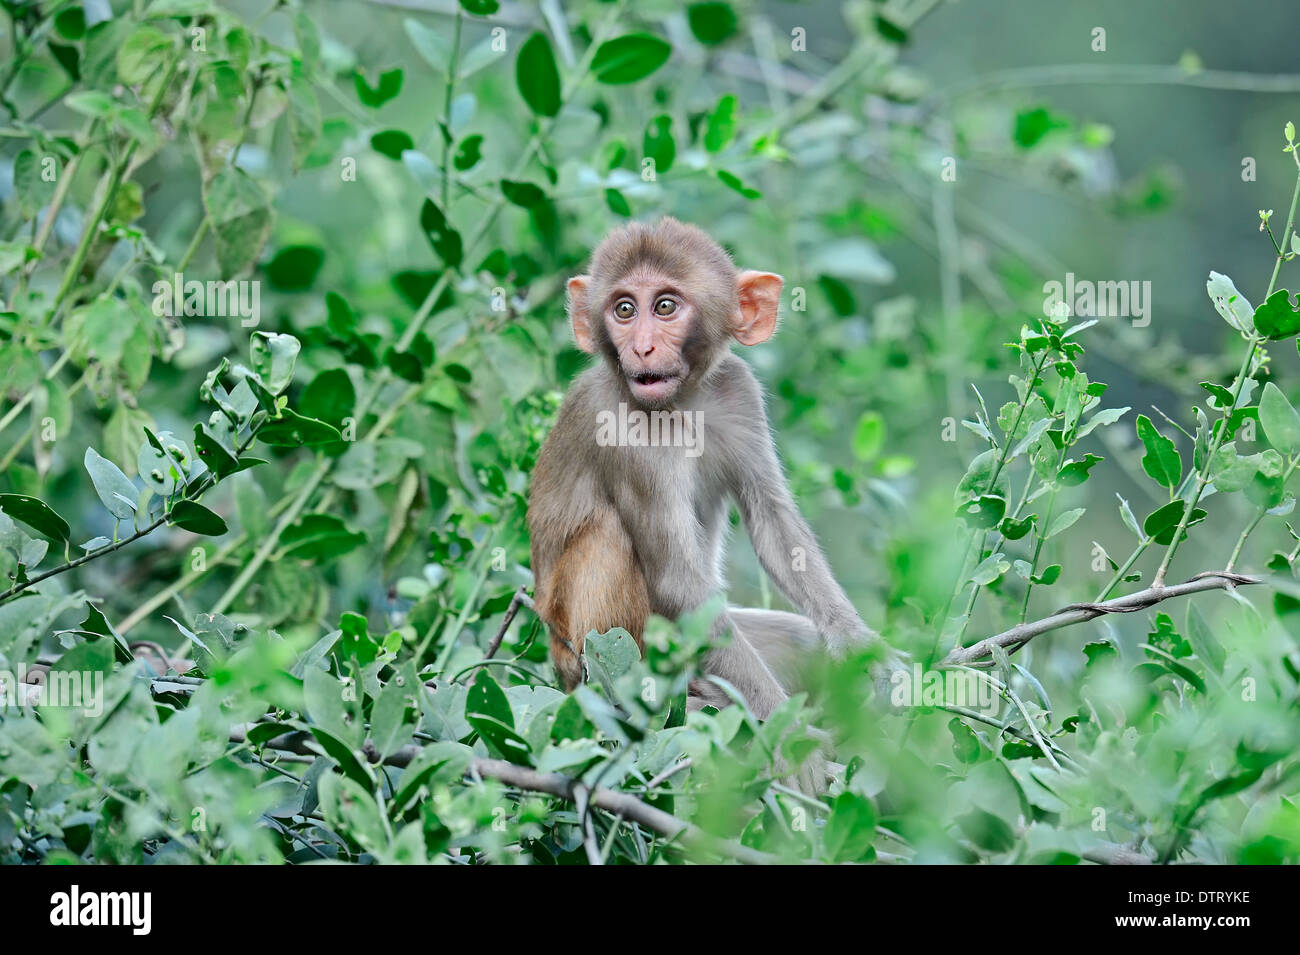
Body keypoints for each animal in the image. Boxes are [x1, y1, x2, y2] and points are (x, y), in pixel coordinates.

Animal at [527, 216, 883, 722]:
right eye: (624, 309)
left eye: (665, 306)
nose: (642, 348)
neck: (683, 403)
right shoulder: (622, 433)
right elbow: (679, 583)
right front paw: (789, 729)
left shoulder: (740, 391)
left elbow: (774, 526)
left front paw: (860, 645)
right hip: (586, 658)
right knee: (609, 537)